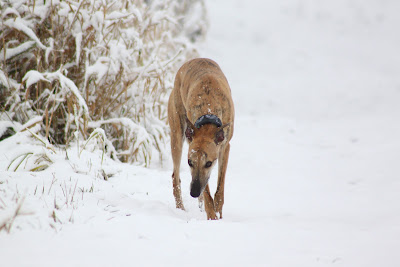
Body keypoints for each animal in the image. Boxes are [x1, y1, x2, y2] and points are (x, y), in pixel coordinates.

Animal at [166, 58, 234, 220]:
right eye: (189, 162)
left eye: (209, 163)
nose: (193, 193)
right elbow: (207, 192)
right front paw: (212, 217)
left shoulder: (225, 147)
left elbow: (219, 189)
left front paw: (218, 213)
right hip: (177, 135)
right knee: (175, 177)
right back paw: (181, 209)